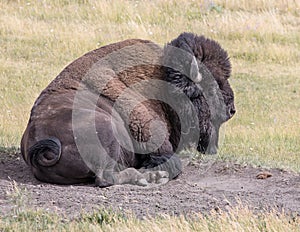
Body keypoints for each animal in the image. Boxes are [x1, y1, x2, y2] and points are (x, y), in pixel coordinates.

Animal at [21, 32, 236, 187]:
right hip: (106, 129)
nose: (232, 110)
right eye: (213, 85)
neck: (163, 81)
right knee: (105, 179)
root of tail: (39, 147)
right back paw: (148, 177)